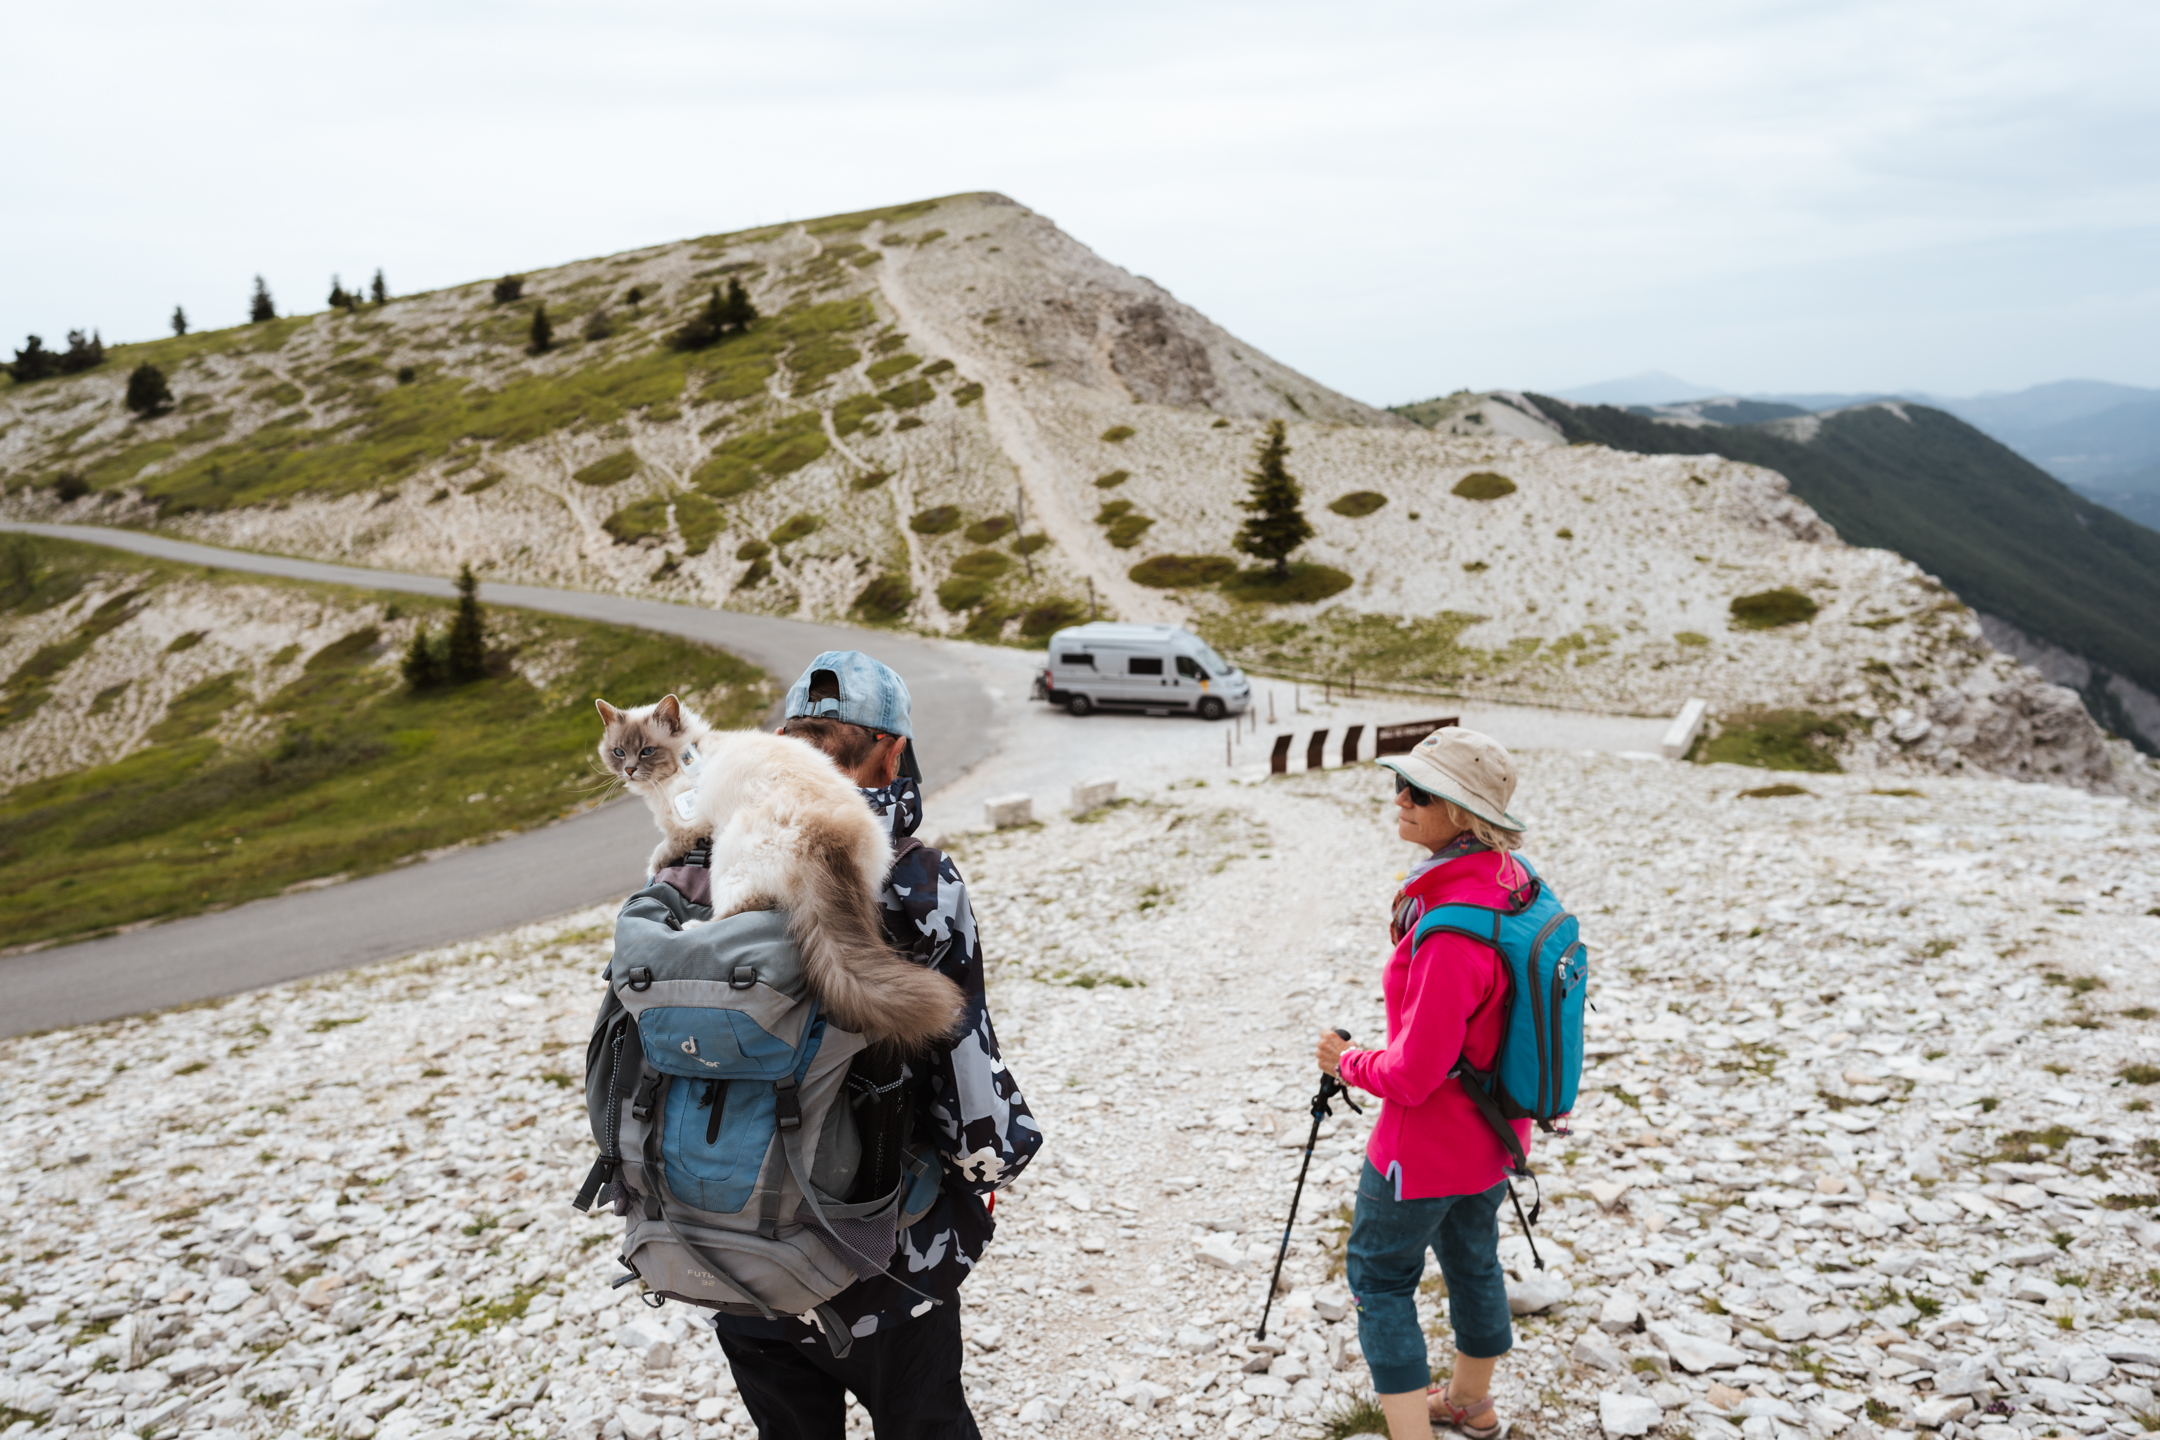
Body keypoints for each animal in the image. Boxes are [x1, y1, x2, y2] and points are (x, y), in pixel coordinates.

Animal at [591, 699, 963, 1049]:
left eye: (647, 750)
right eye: (619, 751)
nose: (629, 769)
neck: (689, 755)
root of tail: (827, 835)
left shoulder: (687, 827)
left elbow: (663, 849)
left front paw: (654, 864)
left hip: (729, 854)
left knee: (736, 910)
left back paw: (689, 927)